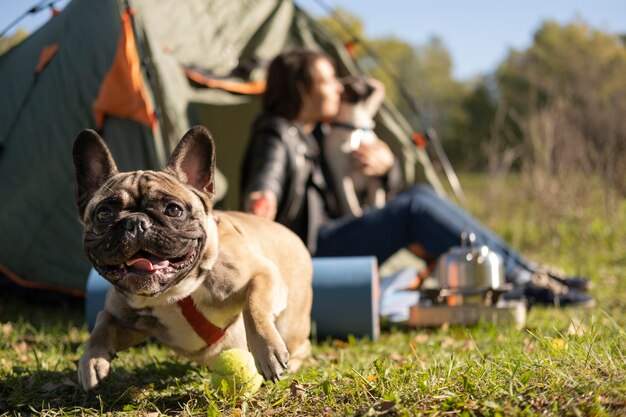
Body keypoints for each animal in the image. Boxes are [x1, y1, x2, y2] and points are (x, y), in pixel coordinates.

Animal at [73, 126, 312, 390]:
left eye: (173, 210)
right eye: (104, 214)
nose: (136, 222)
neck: (172, 293)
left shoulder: (262, 274)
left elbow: (254, 306)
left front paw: (267, 352)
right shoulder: (125, 320)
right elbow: (102, 322)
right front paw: (91, 361)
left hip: (292, 323)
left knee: (301, 343)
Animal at [322, 76, 386, 216]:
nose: (378, 85)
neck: (353, 128)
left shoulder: (373, 177)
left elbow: (377, 201)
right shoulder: (340, 175)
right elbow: (350, 203)